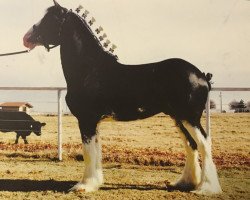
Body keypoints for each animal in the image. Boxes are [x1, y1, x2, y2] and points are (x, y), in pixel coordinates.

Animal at [23, 0, 222, 194]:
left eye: (51, 19)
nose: (26, 39)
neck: (90, 69)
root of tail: (201, 75)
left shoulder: (87, 120)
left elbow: (88, 152)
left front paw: (84, 186)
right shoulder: (94, 122)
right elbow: (96, 150)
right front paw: (95, 183)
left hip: (190, 117)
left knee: (204, 144)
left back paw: (206, 188)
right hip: (179, 118)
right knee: (191, 145)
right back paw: (185, 183)